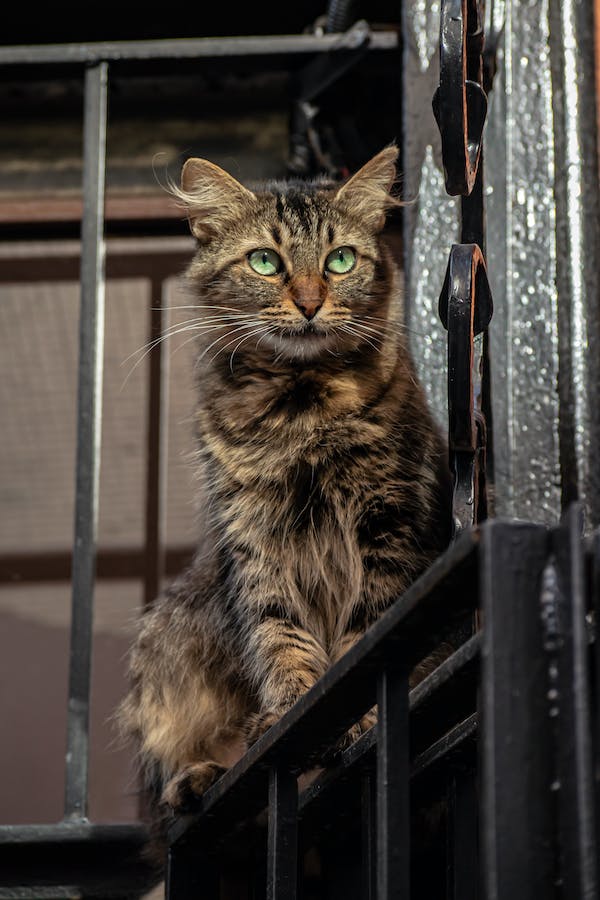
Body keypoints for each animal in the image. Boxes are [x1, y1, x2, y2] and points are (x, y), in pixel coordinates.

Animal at [119, 144, 452, 828]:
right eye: (266, 262)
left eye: (340, 260)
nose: (308, 302)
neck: (300, 411)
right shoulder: (253, 535)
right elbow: (281, 638)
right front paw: (290, 716)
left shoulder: (389, 519)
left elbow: (365, 636)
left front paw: (356, 718)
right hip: (168, 637)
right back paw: (199, 776)